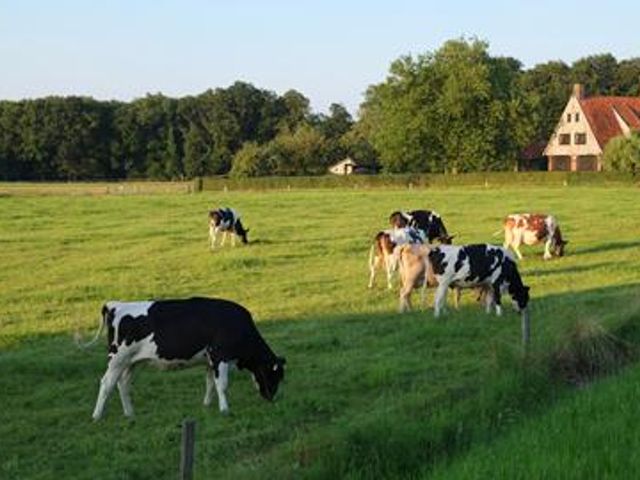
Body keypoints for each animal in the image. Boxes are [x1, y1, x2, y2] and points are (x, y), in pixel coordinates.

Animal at [82, 296, 284, 420]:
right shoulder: (220, 356)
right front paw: (224, 409)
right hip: (117, 359)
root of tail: (116, 305)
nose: (271, 398)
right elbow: (222, 385)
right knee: (106, 383)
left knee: (122, 384)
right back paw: (97, 416)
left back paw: (130, 413)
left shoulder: (210, 360)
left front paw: (207, 405)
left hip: (131, 362)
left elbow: (210, 383)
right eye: (274, 376)